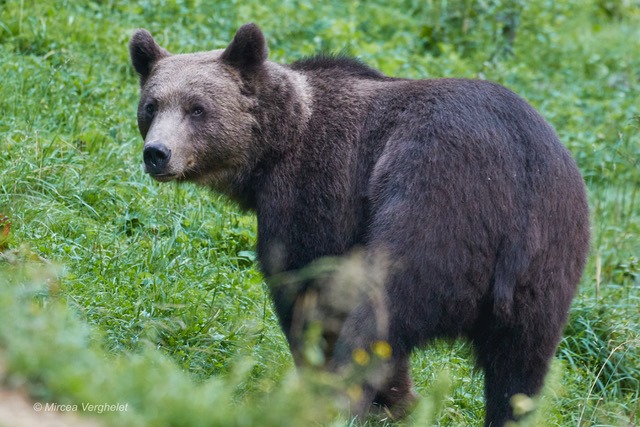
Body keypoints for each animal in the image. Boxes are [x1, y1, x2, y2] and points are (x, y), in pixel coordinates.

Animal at [129, 24, 592, 427]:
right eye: (152, 106)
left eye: (197, 108)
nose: (158, 153)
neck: (272, 150)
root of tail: (516, 171)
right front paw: (397, 398)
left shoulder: (317, 190)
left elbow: (310, 288)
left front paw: (367, 392)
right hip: (551, 257)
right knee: (521, 367)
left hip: (437, 202)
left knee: (381, 308)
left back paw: (339, 401)